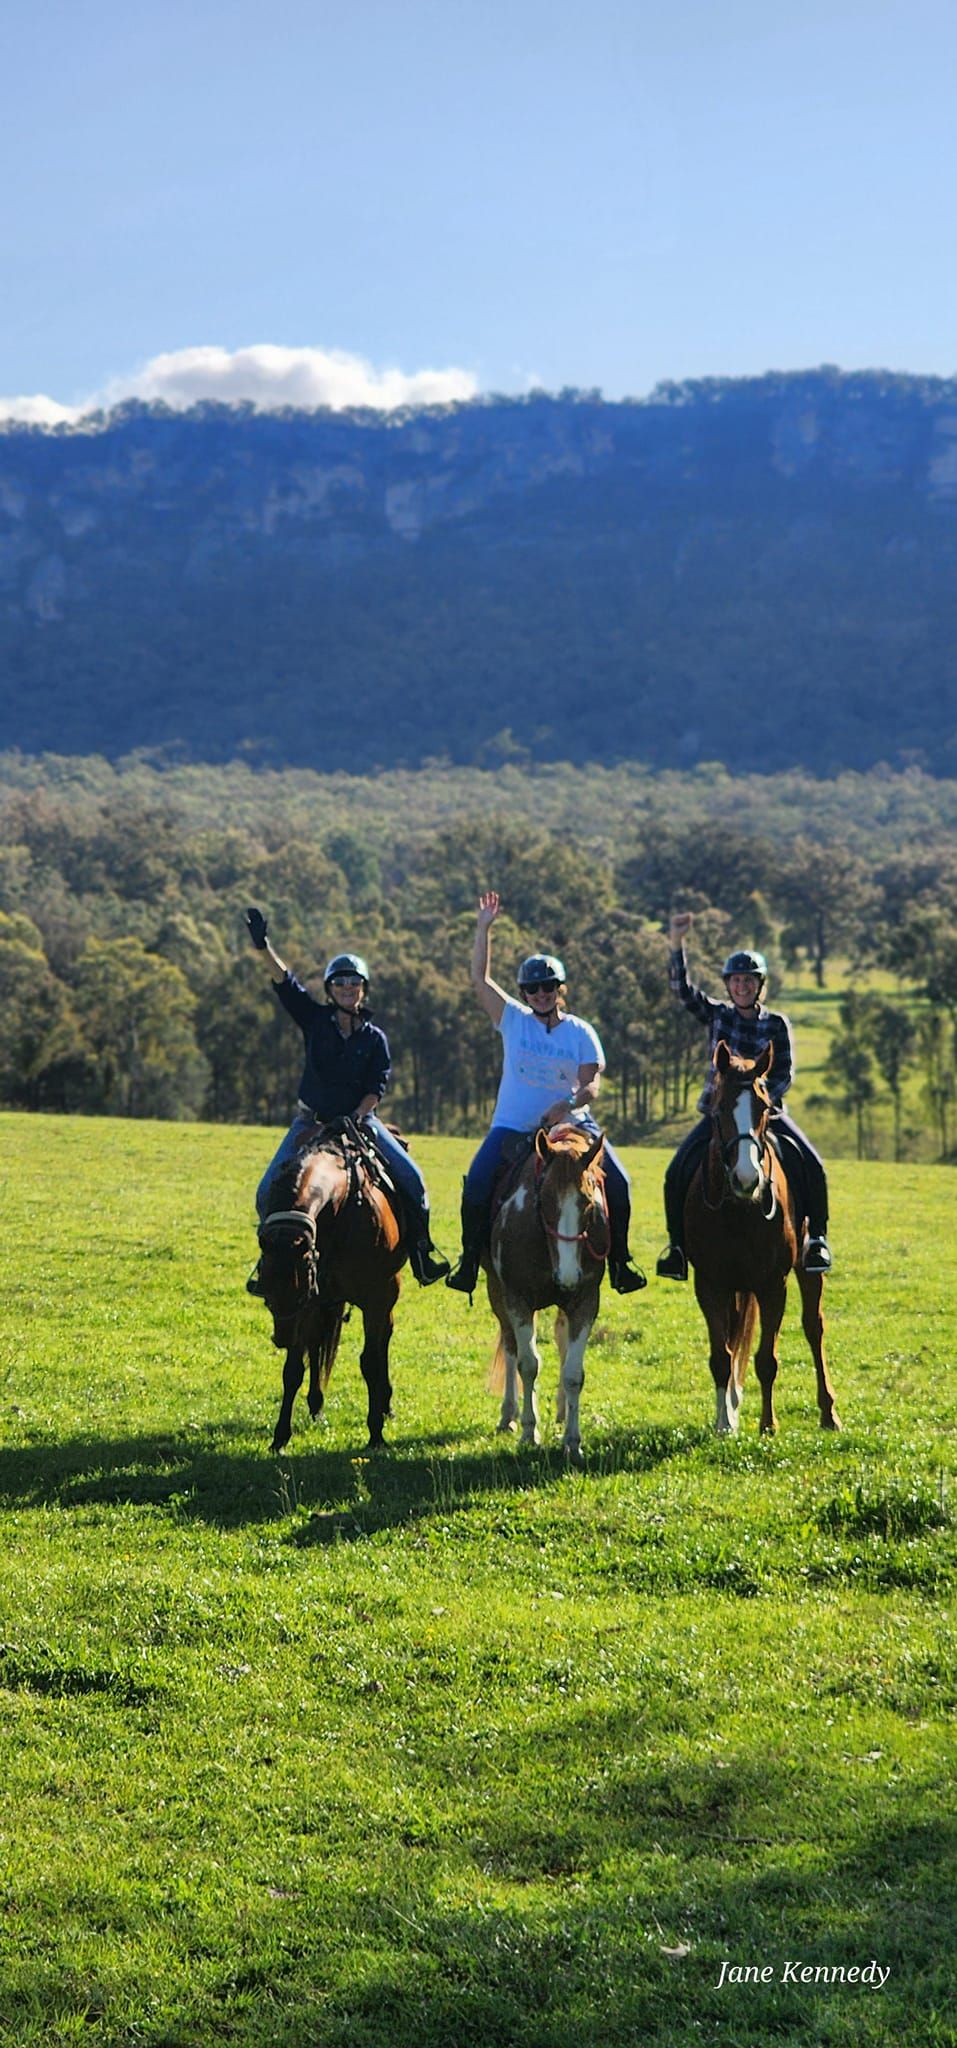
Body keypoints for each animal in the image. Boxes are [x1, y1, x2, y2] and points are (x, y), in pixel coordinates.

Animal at [255, 1122, 403, 1458]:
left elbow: (370, 1362)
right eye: (268, 1297)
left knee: (383, 1340)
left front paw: (376, 1434)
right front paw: (280, 1437)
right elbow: (293, 1369)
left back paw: (385, 1404)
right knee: (316, 1343)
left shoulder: (374, 1298)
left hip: (388, 1293)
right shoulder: (314, 1300)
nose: (281, 1339)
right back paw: (316, 1405)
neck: (339, 1209)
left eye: (294, 1296)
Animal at [489, 1122, 610, 1474]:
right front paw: (529, 1433)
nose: (567, 1275)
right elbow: (528, 1364)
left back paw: (560, 1410)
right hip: (497, 1295)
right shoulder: (517, 1299)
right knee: (511, 1347)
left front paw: (573, 1442)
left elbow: (573, 1373)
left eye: (588, 1203)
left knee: (561, 1343)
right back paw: (509, 1415)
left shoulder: (585, 1301)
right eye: (543, 1201)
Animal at [688, 1040, 840, 1441]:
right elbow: (722, 1356)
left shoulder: (774, 1285)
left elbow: (766, 1359)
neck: (739, 1211)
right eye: (720, 1108)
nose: (747, 1179)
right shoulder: (710, 1285)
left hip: (806, 1267)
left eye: (764, 1108)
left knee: (814, 1327)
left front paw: (768, 1424)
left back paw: (829, 1413)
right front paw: (724, 1423)